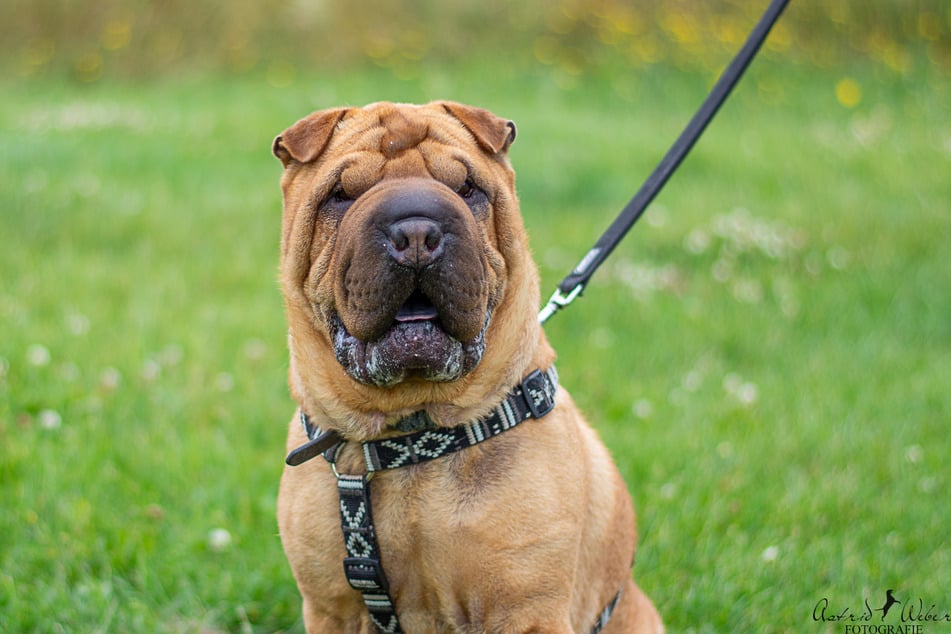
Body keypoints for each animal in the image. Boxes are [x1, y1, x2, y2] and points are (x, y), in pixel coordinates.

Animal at [272, 101, 664, 628]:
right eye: (341, 194)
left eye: (467, 188)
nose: (417, 232)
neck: (409, 437)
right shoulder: (332, 609)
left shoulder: (525, 608)